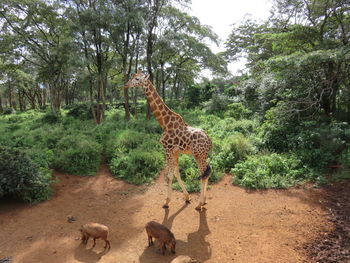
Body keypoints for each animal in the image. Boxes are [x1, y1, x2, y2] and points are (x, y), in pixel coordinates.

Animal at [126, 69, 213, 210]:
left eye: (137, 78)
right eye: (132, 76)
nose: (126, 85)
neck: (165, 123)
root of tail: (209, 140)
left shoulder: (167, 149)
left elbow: (169, 176)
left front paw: (167, 202)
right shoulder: (175, 151)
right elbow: (176, 173)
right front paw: (187, 197)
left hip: (198, 155)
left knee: (203, 175)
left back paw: (199, 204)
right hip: (203, 155)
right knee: (207, 172)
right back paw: (204, 200)